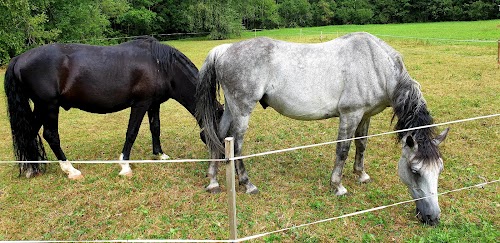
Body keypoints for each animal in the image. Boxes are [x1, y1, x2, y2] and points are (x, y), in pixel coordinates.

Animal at [3, 37, 205, 179]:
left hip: (40, 107)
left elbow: (155, 127)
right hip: (49, 106)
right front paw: (125, 166)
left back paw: (30, 169)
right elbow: (131, 132)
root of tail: (19, 58)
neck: (161, 66)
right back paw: (71, 170)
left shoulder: (153, 104)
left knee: (28, 133)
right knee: (51, 136)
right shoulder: (140, 104)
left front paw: (160, 155)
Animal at [195, 32, 450, 226]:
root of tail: (224, 50)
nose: (433, 217)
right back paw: (247, 184)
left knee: (218, 136)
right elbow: (343, 149)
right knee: (236, 144)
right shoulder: (350, 115)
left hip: (232, 109)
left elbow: (361, 145)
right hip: (242, 110)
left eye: (439, 169)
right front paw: (338, 186)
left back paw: (213, 181)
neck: (374, 64)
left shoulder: (365, 116)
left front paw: (361, 175)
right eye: (415, 171)